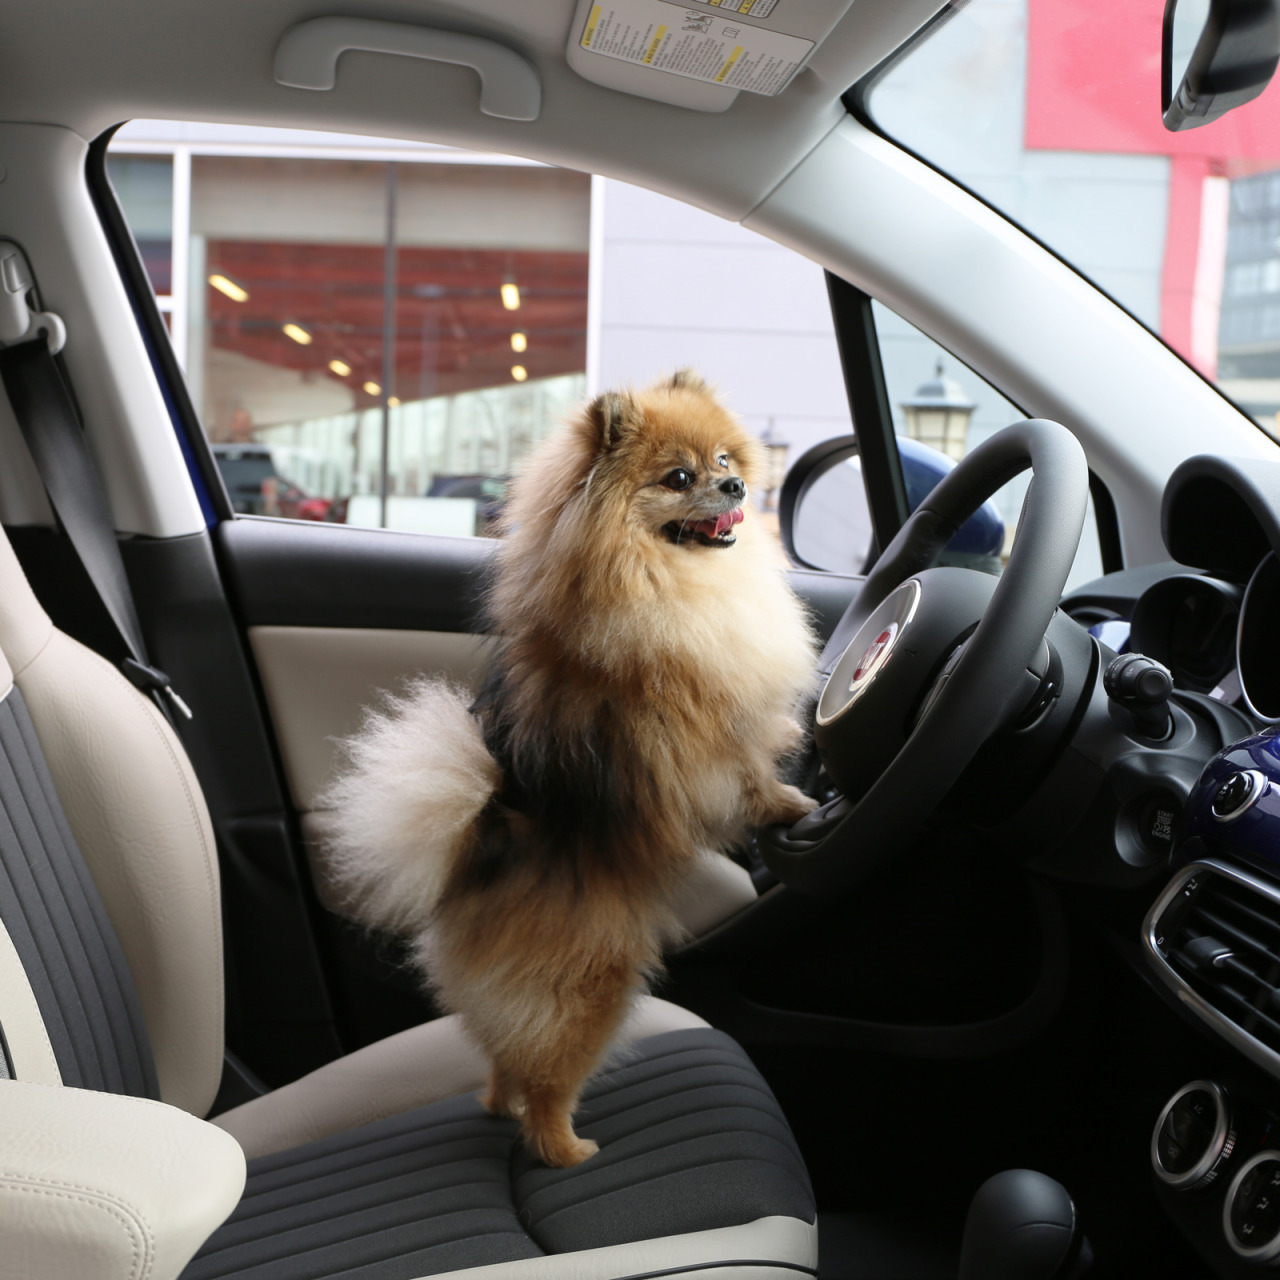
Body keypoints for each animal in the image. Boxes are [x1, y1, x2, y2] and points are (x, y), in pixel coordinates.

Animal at [325, 373, 814, 1172]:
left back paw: (499, 1106)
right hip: (595, 988)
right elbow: (749, 779)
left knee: (504, 1062)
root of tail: (482, 843)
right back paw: (567, 1149)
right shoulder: (707, 740)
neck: (656, 579)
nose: (738, 484)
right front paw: (792, 804)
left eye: (722, 458)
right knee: (547, 1080)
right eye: (679, 478)